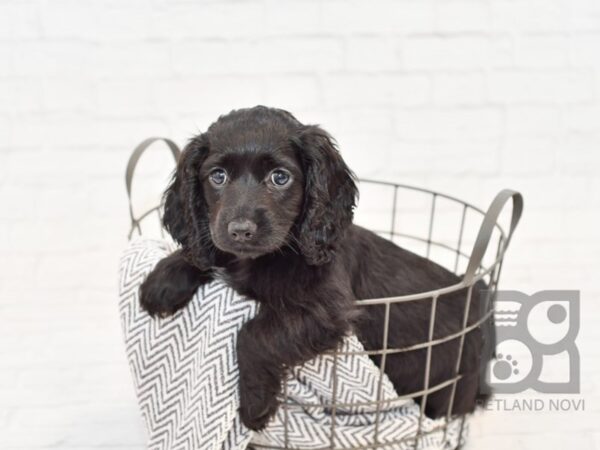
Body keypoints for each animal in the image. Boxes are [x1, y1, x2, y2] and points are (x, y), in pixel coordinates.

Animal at [142, 104, 492, 428]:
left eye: (280, 177)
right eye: (218, 176)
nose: (241, 230)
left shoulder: (326, 310)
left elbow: (251, 335)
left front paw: (255, 405)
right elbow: (208, 250)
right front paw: (161, 282)